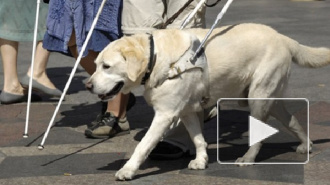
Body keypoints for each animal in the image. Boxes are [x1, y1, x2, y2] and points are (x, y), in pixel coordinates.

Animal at [85, 23, 330, 181]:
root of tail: (283, 37)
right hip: (271, 99)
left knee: (260, 135)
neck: (157, 58)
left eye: (107, 66)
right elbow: (198, 139)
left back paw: (248, 158)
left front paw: (128, 170)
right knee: (293, 121)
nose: (88, 86)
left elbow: (143, 145)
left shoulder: (165, 114)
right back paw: (306, 145)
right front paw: (202, 160)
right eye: (95, 65)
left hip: (258, 97)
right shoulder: (186, 111)